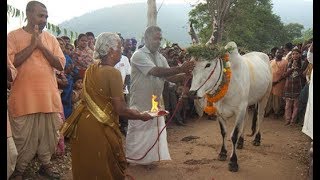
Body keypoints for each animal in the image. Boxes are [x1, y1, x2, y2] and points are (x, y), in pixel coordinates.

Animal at [189, 41, 274, 172]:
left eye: (208, 64)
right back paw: (241, 142)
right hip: (247, 103)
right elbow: (223, 132)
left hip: (264, 96)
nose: (192, 93)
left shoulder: (239, 110)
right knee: (247, 119)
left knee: (260, 116)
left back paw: (257, 139)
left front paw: (233, 162)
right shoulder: (220, 112)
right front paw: (222, 153)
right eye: (193, 65)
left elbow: (233, 135)